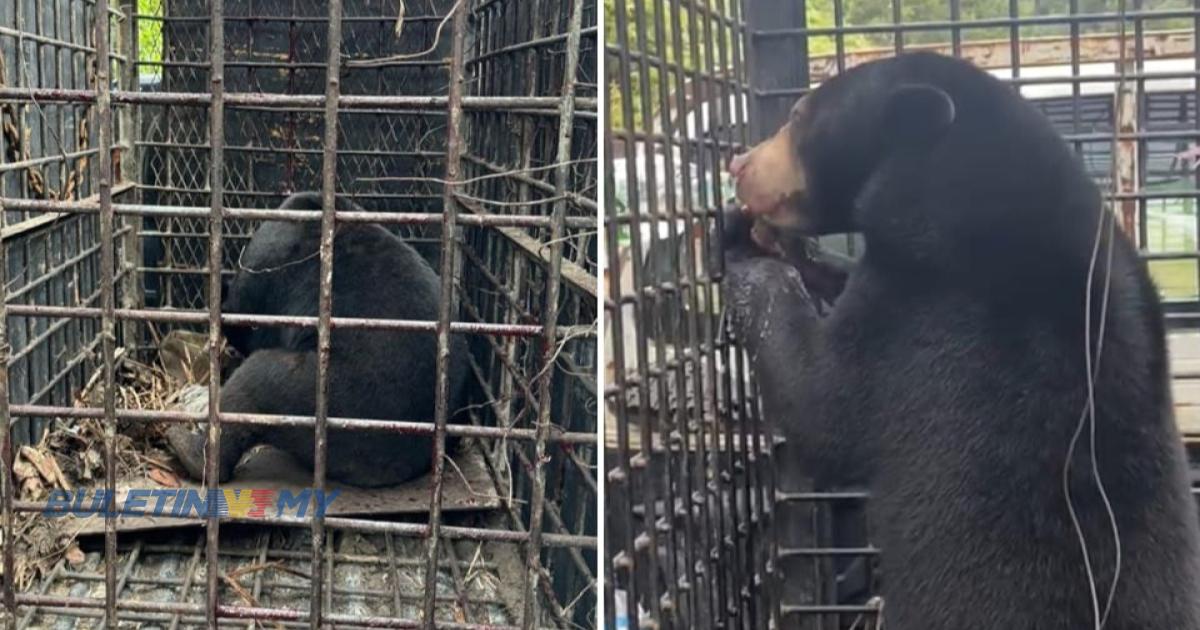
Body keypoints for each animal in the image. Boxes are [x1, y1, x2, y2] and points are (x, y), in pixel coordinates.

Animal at [720, 52, 1200, 628]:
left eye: (795, 116)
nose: (739, 165)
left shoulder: (927, 305)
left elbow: (824, 405)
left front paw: (745, 252)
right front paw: (789, 249)